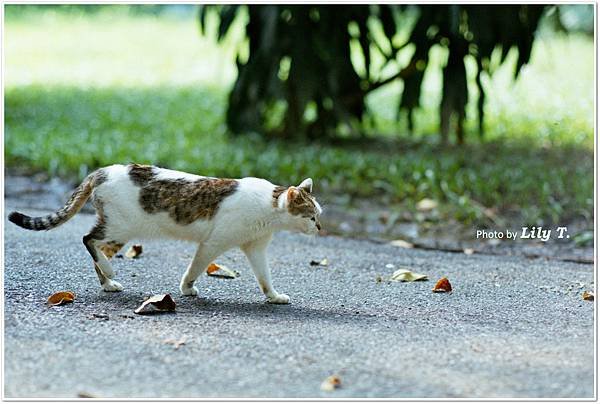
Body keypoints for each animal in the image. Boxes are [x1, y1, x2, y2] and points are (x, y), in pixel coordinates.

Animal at [8, 163, 324, 304]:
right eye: (311, 216)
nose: (321, 228)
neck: (268, 206)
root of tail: (103, 170)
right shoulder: (213, 243)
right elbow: (195, 267)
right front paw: (186, 288)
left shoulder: (255, 247)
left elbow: (264, 277)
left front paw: (273, 296)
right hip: (120, 225)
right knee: (88, 240)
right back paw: (109, 273)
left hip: (119, 231)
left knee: (98, 250)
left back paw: (109, 282)